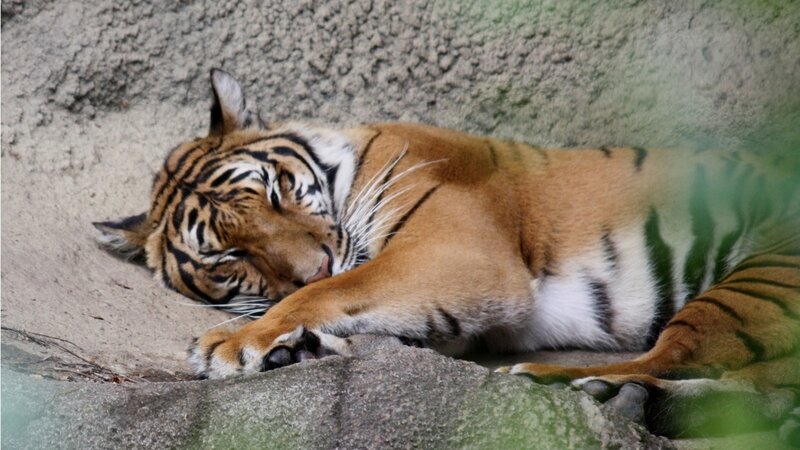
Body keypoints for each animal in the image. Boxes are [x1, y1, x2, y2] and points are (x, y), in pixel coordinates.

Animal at [95, 69, 800, 440]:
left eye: (275, 191)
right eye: (227, 258)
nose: (315, 261)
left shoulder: (461, 252)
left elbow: (334, 290)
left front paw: (235, 343)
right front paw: (297, 347)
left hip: (760, 277)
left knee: (674, 358)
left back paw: (577, 387)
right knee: (760, 392)